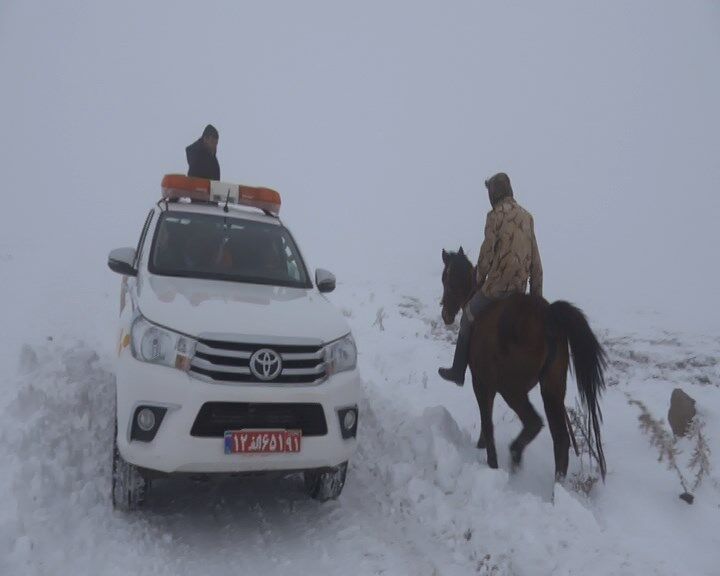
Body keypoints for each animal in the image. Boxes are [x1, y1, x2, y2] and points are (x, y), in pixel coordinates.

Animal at [438, 248, 608, 482]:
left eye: (445, 279)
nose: (445, 314)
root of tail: (548, 316)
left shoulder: (481, 382)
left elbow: (487, 421)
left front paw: (490, 460)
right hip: (552, 389)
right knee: (561, 439)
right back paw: (556, 485)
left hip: (511, 389)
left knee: (534, 423)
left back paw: (515, 455)